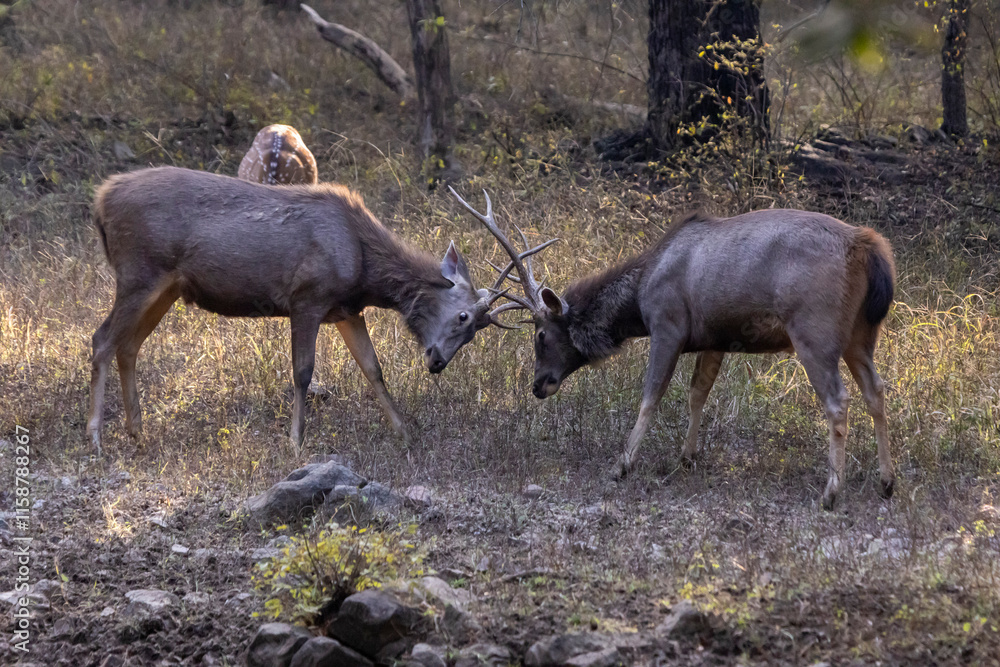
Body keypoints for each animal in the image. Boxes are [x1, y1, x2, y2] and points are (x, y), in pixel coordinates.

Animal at [87, 166, 513, 455]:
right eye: (464, 317)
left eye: (476, 331)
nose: (437, 362)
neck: (364, 267)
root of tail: (101, 199)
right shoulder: (307, 298)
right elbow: (303, 372)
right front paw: (295, 440)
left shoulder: (346, 310)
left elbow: (373, 369)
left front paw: (405, 432)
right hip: (139, 271)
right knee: (102, 339)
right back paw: (95, 435)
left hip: (167, 287)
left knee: (128, 346)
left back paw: (137, 430)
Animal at [451, 188, 896, 510]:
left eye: (541, 335)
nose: (538, 385)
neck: (638, 298)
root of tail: (869, 249)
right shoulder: (716, 338)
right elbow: (697, 392)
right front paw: (688, 456)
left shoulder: (667, 325)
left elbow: (652, 395)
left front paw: (622, 464)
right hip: (861, 335)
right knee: (876, 391)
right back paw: (887, 481)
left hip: (813, 330)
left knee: (838, 400)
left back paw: (831, 492)